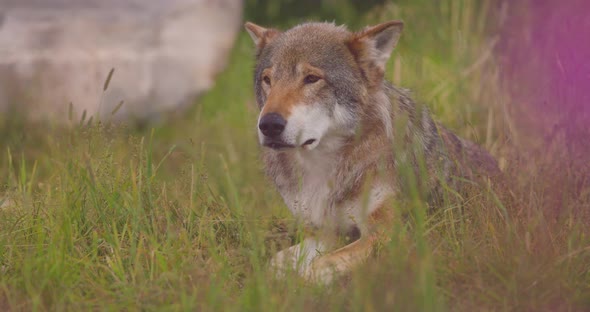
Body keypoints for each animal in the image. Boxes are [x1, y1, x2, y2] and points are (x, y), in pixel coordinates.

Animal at [244, 18, 500, 282]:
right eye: (268, 80)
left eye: (311, 78)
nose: (269, 125)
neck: (323, 167)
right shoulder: (326, 233)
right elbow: (274, 263)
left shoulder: (388, 233)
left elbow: (319, 268)